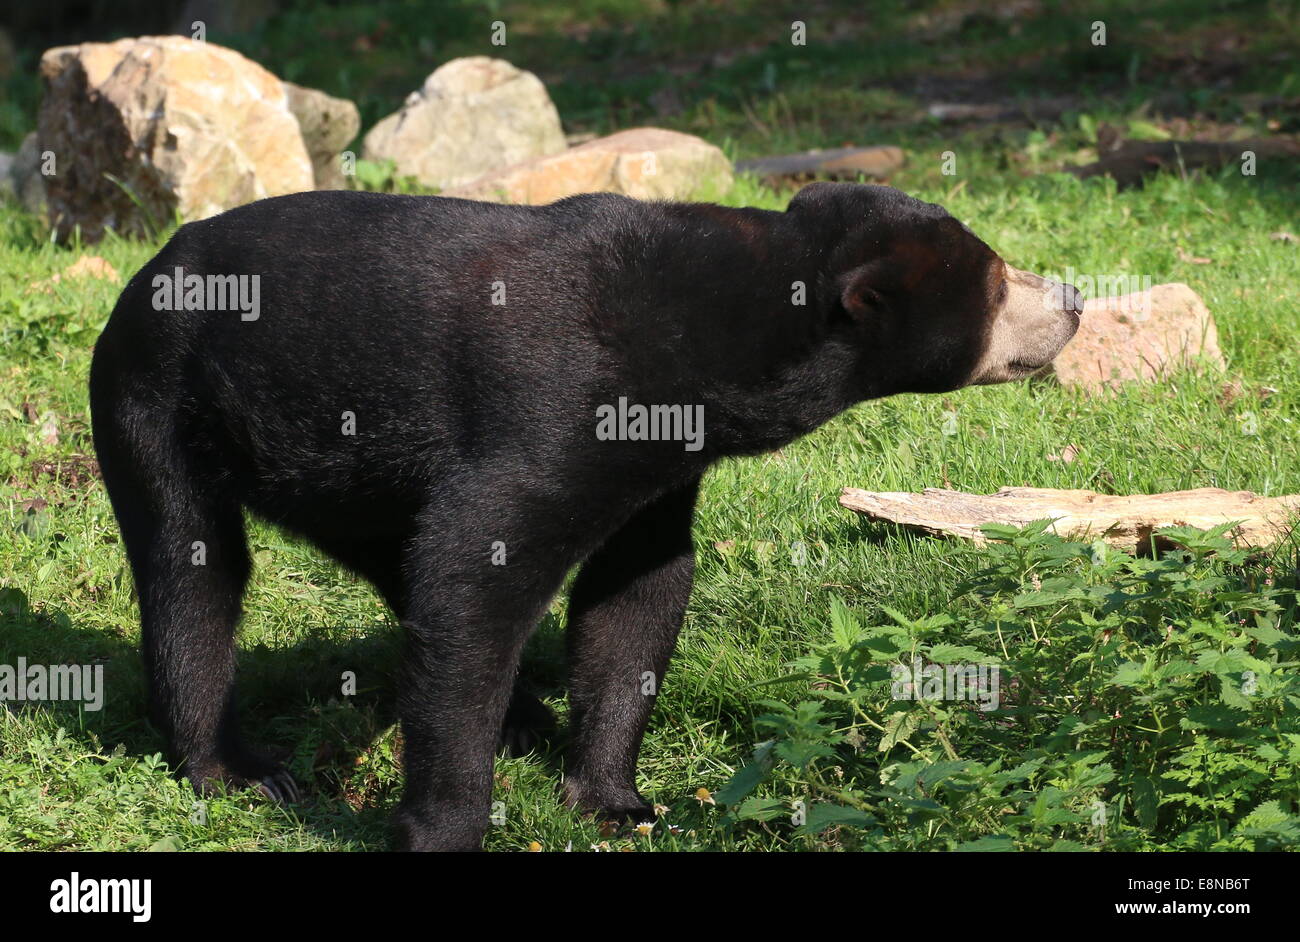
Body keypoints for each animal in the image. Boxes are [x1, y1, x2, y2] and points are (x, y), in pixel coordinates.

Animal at [89, 182, 1081, 850]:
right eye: (999, 278)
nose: (1073, 300)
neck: (716, 336)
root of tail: (149, 268)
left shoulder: (661, 457)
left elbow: (636, 592)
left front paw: (615, 799)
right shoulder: (557, 406)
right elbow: (475, 571)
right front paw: (446, 824)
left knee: (384, 560)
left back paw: (523, 715)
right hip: (160, 395)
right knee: (193, 566)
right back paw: (236, 769)